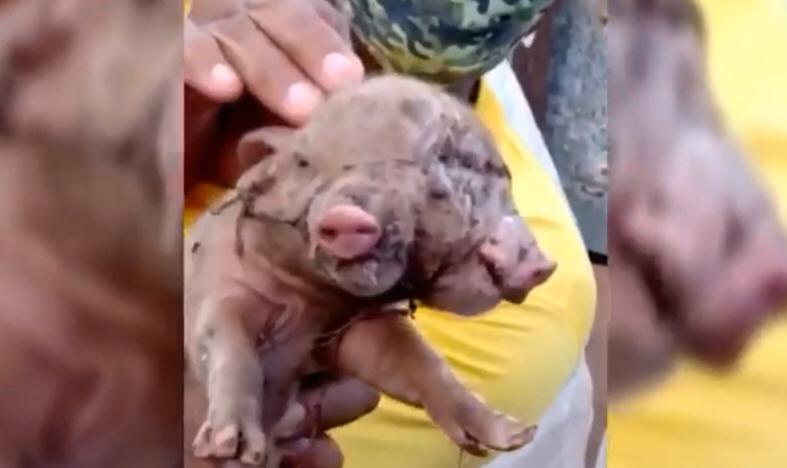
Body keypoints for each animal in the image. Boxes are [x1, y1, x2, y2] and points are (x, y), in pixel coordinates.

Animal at [185, 75, 557, 466]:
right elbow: (227, 342)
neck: (310, 302)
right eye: (303, 162)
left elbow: (418, 362)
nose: (347, 215)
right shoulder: (218, 285)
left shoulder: (355, 332)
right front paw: (233, 446)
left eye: (448, 162)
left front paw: (516, 435)